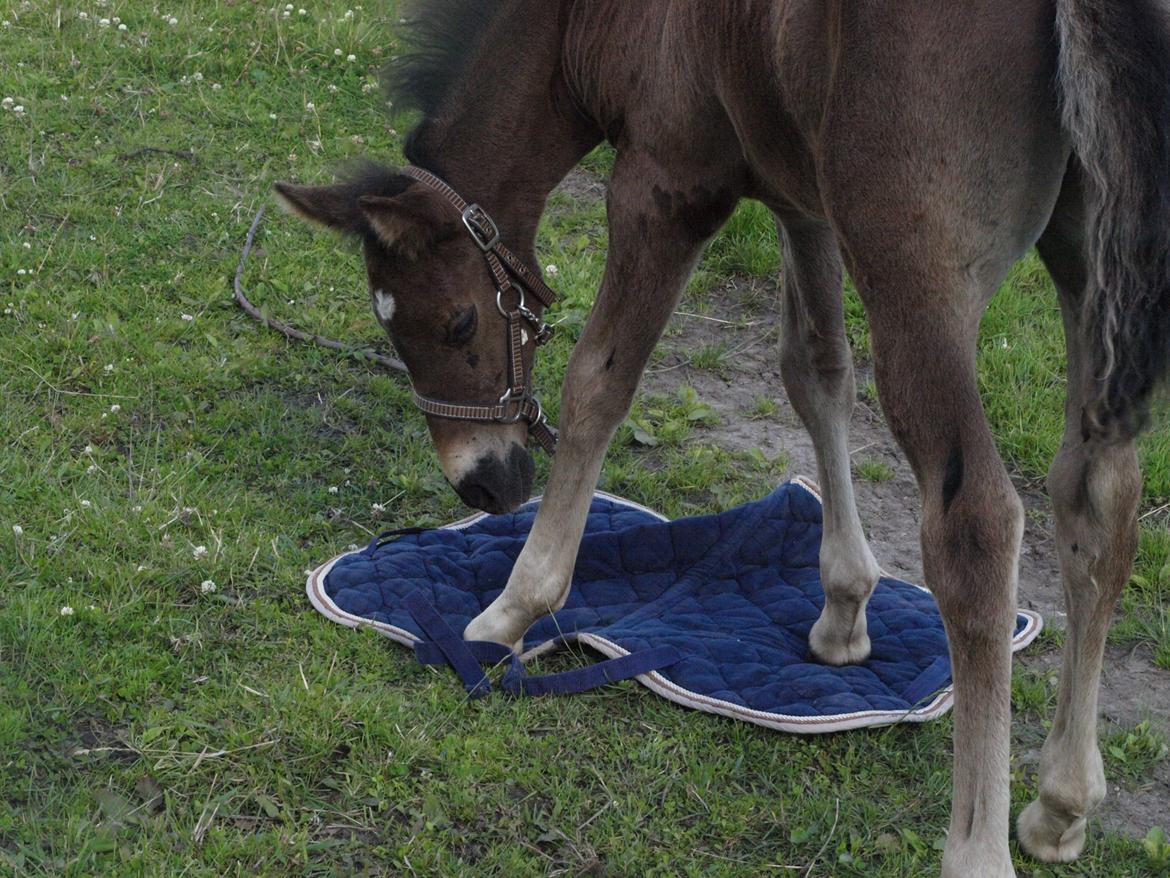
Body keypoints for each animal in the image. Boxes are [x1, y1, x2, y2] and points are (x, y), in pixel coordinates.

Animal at [276, 3, 1170, 875]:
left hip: (916, 270)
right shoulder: (801, 197)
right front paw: (844, 609)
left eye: (458, 321)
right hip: (1086, 254)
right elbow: (816, 371)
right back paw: (1061, 804)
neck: (584, 20)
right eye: (389, 328)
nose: (484, 484)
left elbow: (599, 383)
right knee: (1099, 499)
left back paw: (977, 850)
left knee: (977, 519)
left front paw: (513, 609)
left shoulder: (664, 186)